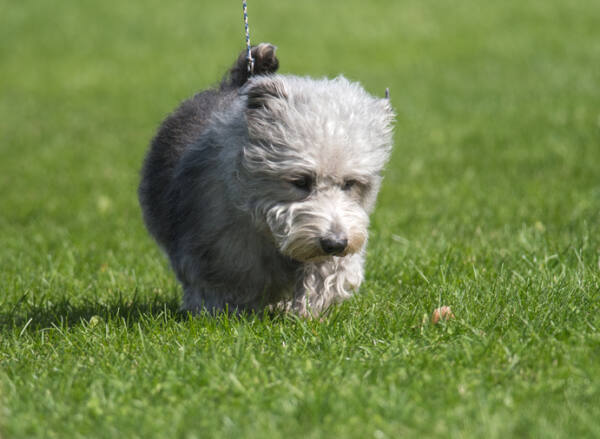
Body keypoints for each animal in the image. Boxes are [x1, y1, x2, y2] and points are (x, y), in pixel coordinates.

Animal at [138, 43, 396, 316]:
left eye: (350, 183)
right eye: (301, 181)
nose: (335, 243)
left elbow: (330, 272)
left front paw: (310, 306)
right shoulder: (213, 249)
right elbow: (220, 285)